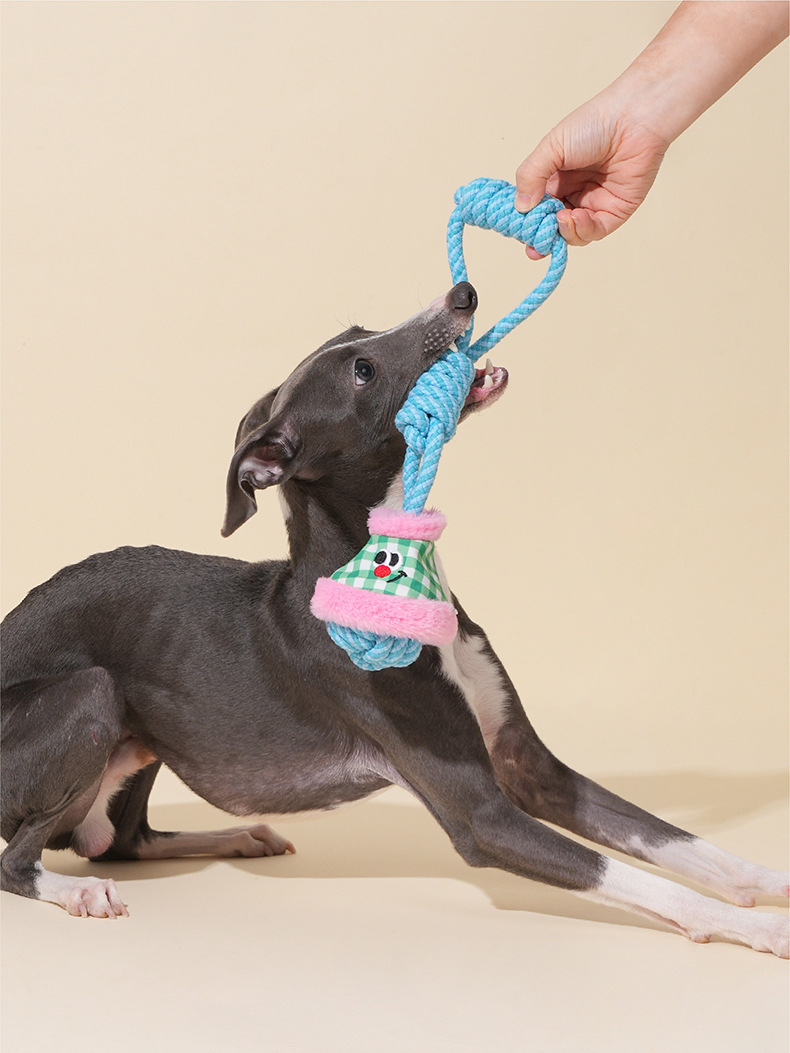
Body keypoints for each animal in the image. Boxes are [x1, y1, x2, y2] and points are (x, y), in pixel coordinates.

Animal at [1, 282, 788, 955]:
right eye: (364, 370)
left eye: (358, 335)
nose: (463, 294)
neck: (393, 572)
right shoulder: (482, 815)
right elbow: (638, 877)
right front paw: (763, 930)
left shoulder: (529, 767)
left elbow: (672, 841)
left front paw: (769, 886)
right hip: (94, 693)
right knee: (20, 859)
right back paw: (77, 893)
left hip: (145, 740)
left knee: (119, 841)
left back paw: (235, 837)